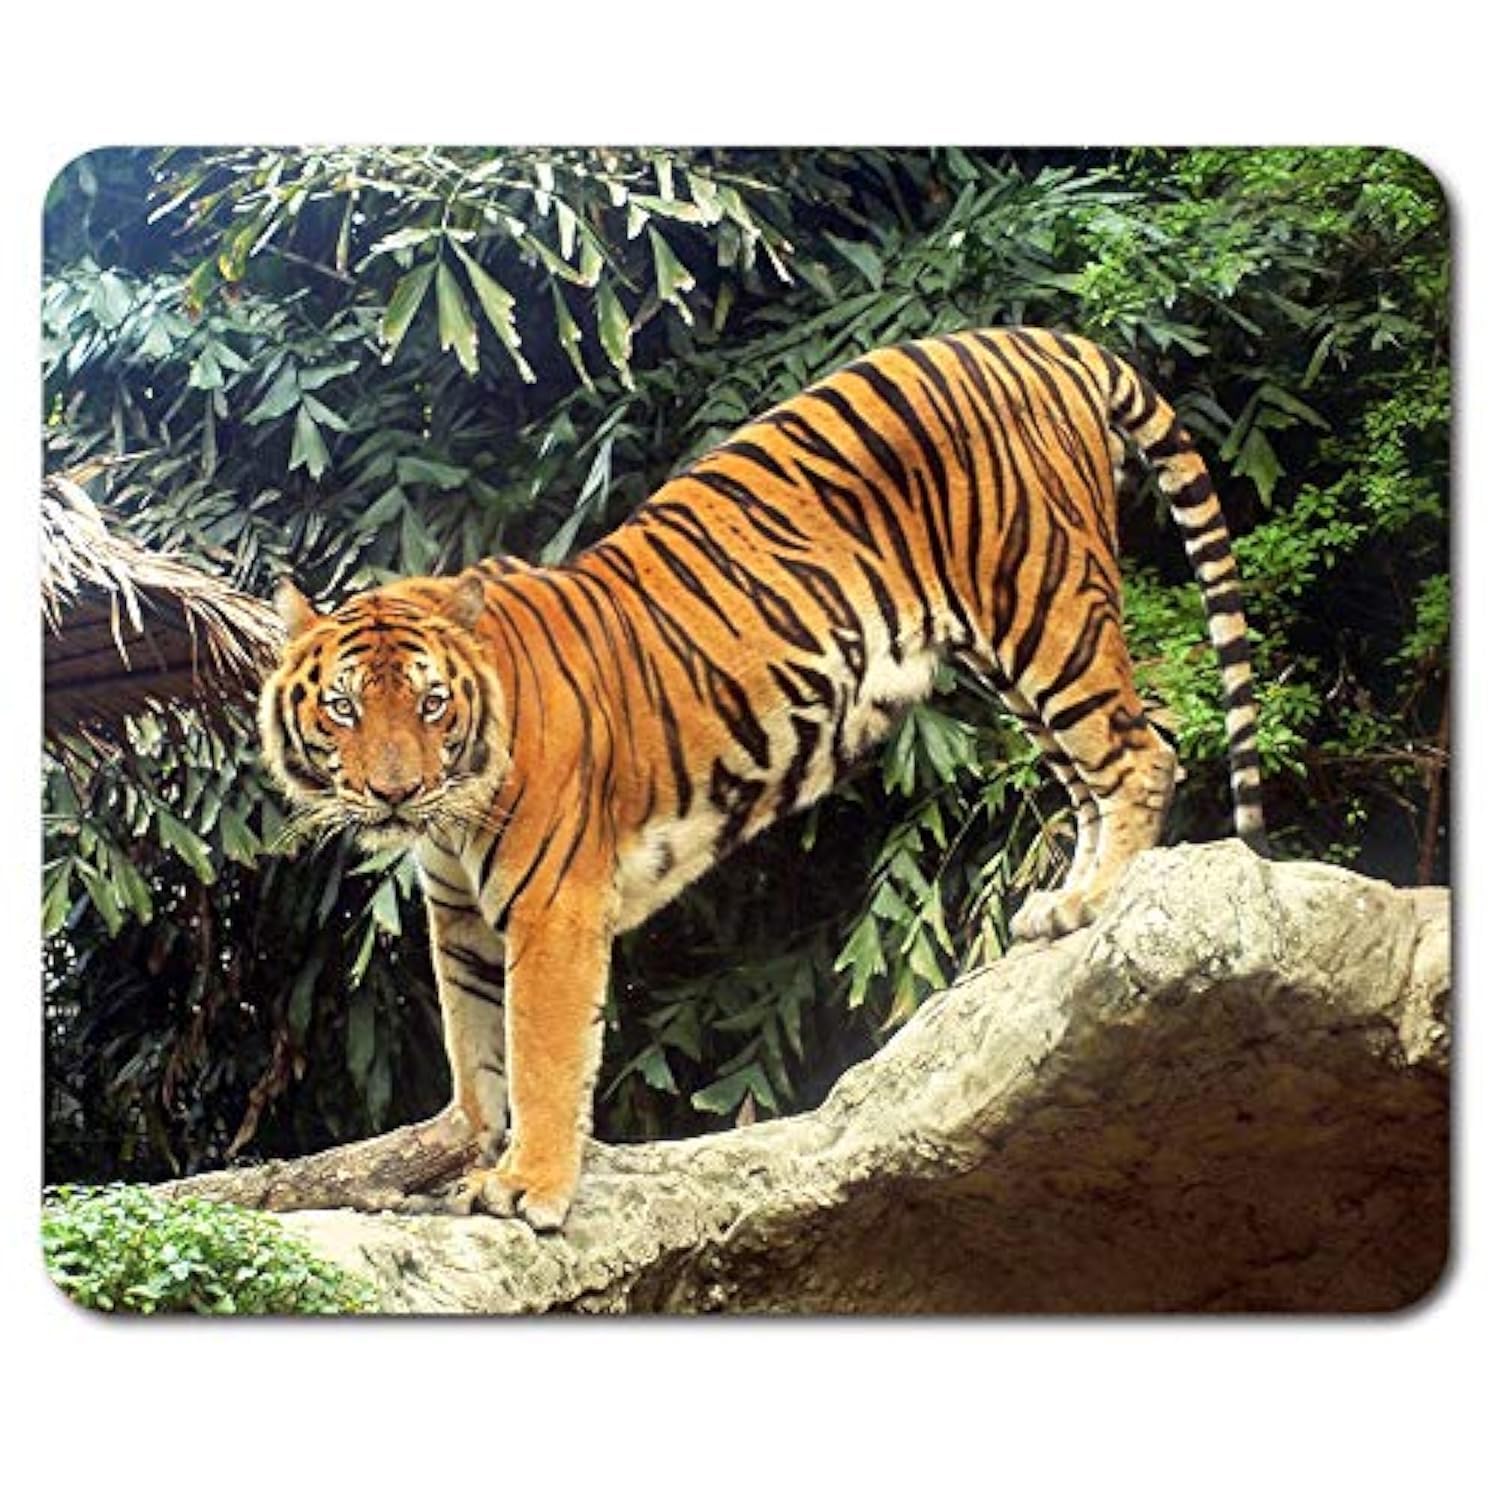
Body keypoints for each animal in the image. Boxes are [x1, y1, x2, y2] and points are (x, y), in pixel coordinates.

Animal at [260, 326, 1267, 1231]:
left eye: (432, 705)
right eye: (344, 708)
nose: (393, 794)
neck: (453, 811)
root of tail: (1044, 339)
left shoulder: (553, 910)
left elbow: (540, 1050)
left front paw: (528, 1187)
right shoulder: (461, 918)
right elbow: (475, 1046)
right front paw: (471, 1150)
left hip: (1043, 605)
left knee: (1141, 749)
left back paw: (1094, 900)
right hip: (1008, 661)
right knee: (1088, 775)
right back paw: (1060, 910)